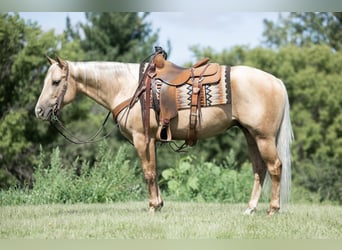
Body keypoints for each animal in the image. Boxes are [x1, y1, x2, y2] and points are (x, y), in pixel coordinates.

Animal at [35, 54, 294, 215]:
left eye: (56, 82)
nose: (39, 111)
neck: (129, 87)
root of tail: (276, 81)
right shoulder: (152, 139)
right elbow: (155, 171)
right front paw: (159, 204)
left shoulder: (141, 138)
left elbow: (148, 172)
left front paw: (152, 206)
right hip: (251, 135)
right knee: (259, 170)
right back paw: (250, 209)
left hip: (263, 137)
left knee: (275, 167)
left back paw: (273, 209)